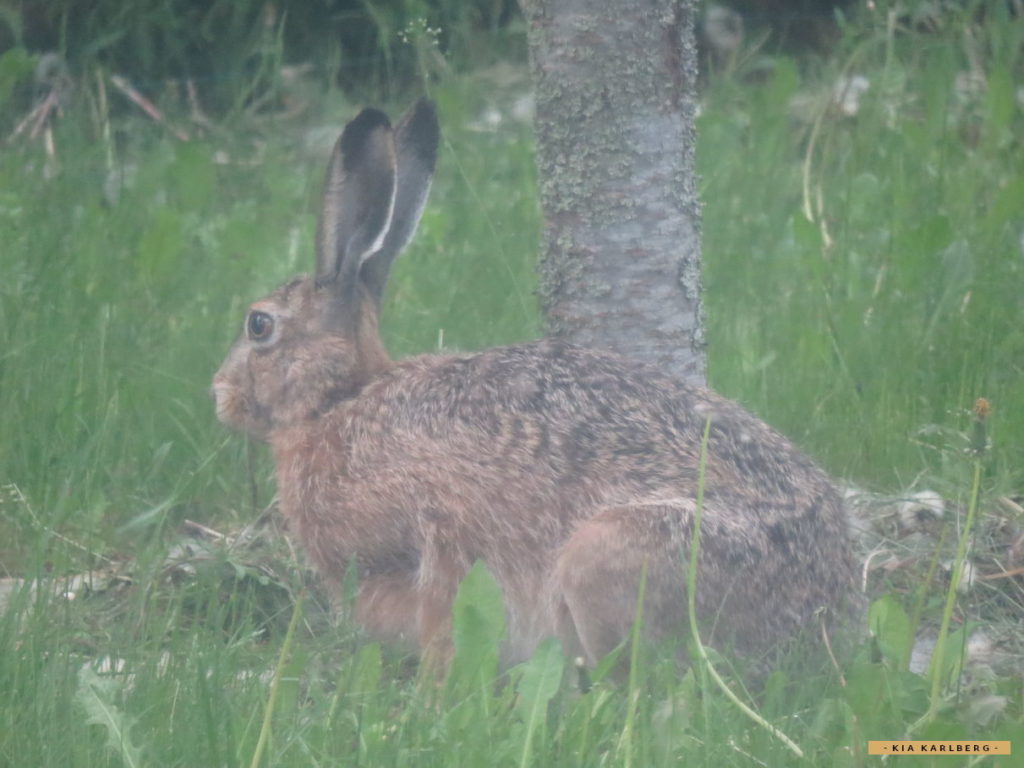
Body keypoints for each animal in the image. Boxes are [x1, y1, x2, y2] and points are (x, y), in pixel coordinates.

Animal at [212, 98, 860, 672]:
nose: (218, 394)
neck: (338, 401)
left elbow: (445, 622)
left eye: (258, 325)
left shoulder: (438, 537)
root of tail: (822, 625)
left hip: (610, 556)